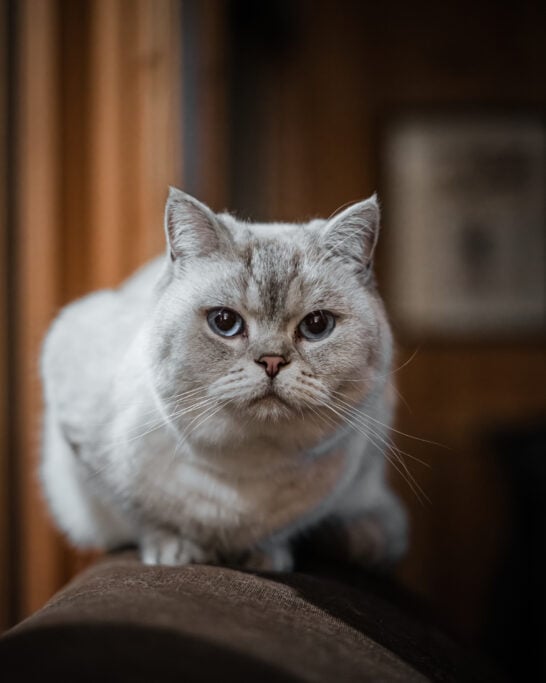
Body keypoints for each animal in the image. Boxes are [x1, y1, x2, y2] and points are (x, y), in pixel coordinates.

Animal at [40, 188, 406, 572]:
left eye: (317, 325)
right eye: (225, 322)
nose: (272, 361)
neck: (245, 469)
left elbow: (281, 530)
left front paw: (264, 558)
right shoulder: (86, 449)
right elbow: (144, 515)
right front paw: (175, 552)